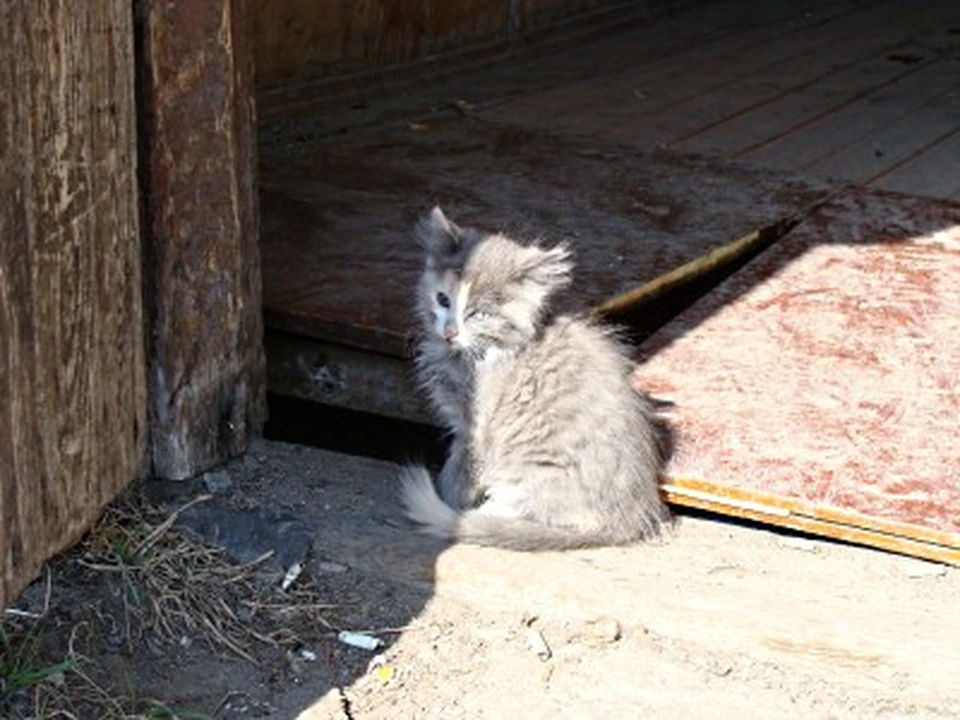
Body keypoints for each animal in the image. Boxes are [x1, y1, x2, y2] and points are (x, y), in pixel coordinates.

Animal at [402, 207, 672, 552]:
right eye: (443, 300)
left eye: (480, 314)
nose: (449, 331)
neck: (477, 354)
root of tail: (628, 520)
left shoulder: (476, 430)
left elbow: (459, 472)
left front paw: (450, 499)